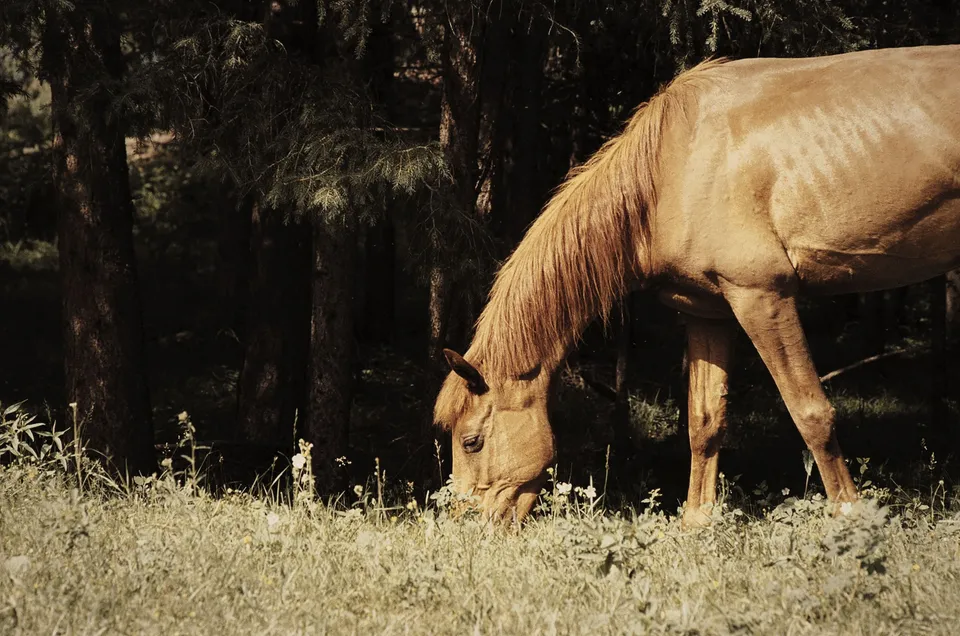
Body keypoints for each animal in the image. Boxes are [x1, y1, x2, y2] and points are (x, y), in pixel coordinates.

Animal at [433, 44, 960, 528]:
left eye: (472, 441)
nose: (466, 526)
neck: (672, 171)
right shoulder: (708, 312)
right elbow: (705, 421)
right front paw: (697, 520)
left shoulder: (762, 299)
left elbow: (811, 413)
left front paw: (850, 516)